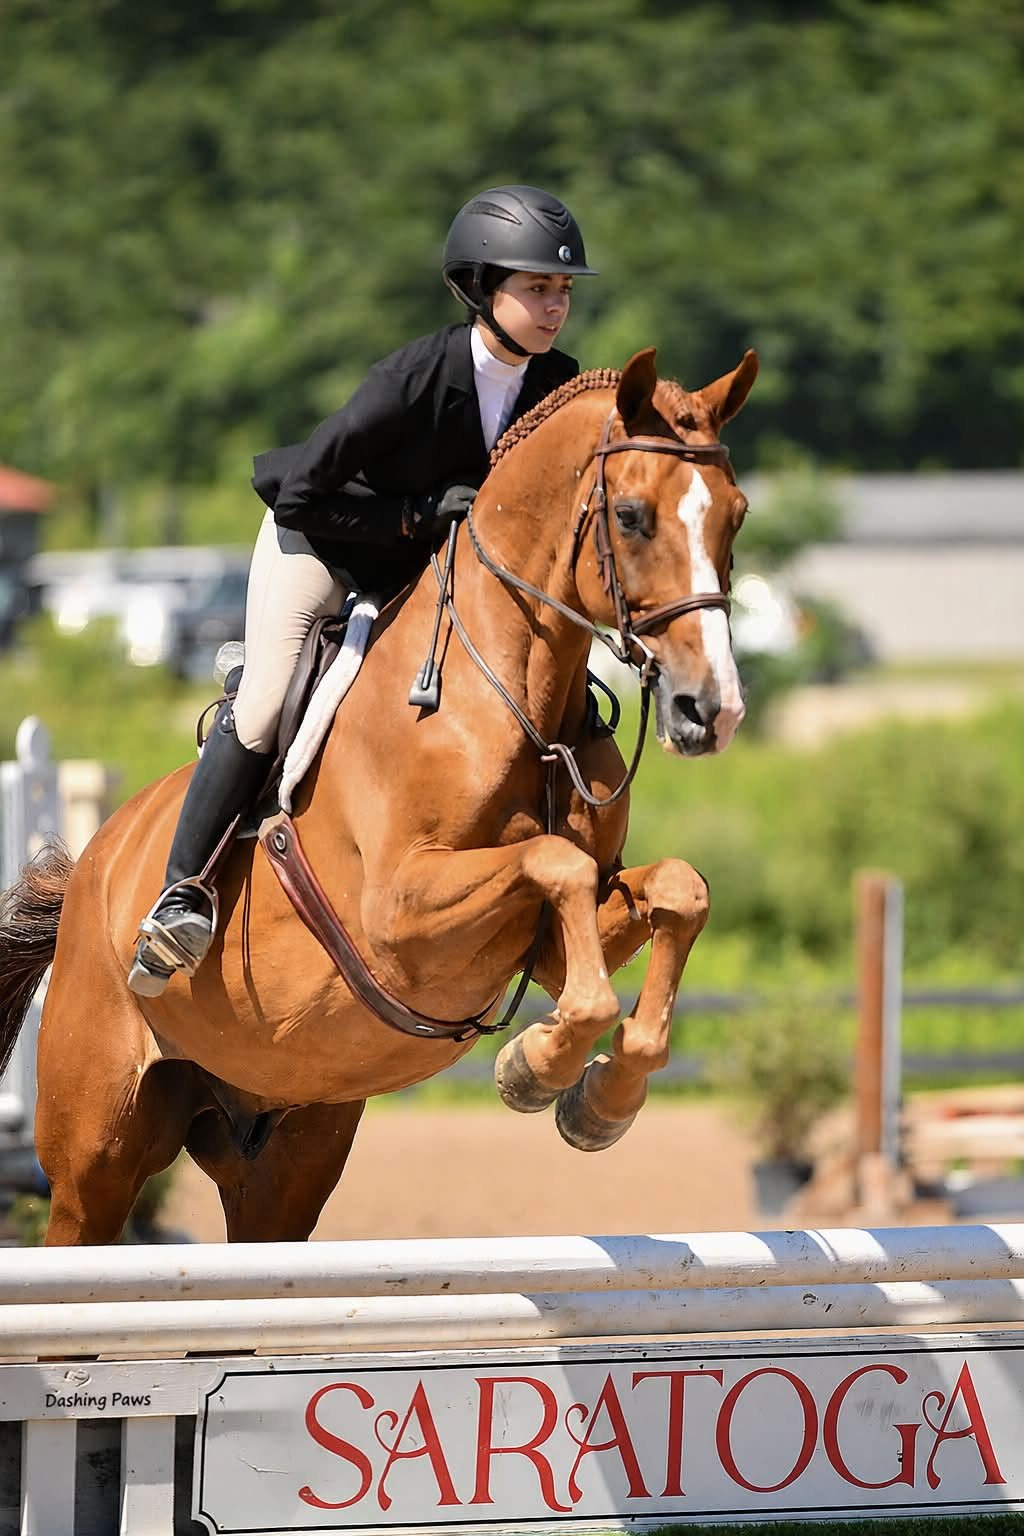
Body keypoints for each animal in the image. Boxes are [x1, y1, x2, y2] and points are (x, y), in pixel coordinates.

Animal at [0, 345, 757, 1245]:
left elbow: (676, 887)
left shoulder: (538, 941)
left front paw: (598, 1098)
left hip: (288, 1156)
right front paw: (534, 1067)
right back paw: (175, 920)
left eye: (736, 517)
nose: (711, 709)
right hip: (96, 1157)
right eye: (635, 516)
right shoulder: (400, 918)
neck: (512, 698)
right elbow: (556, 862)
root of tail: (92, 870)